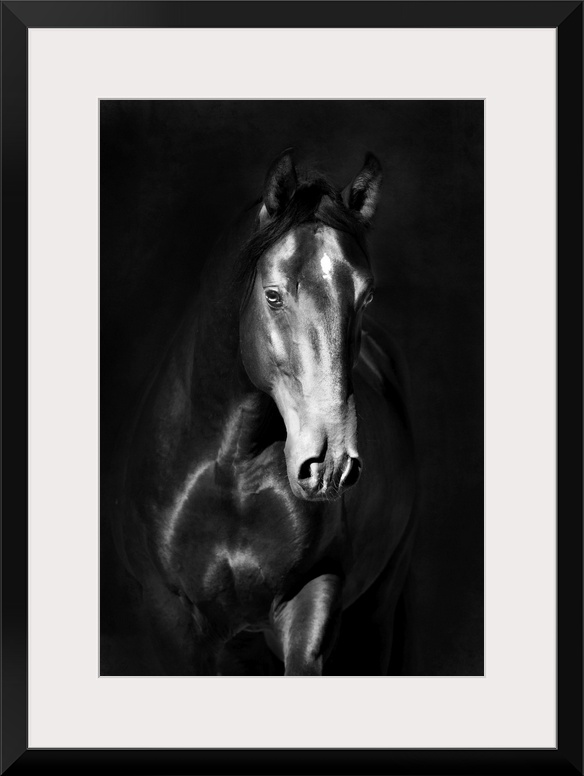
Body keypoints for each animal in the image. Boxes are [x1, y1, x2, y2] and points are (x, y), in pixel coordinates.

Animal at [107, 150, 418, 672]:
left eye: (367, 295)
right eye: (273, 295)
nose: (330, 464)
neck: (232, 467)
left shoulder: (312, 596)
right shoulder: (170, 617)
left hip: (378, 607)